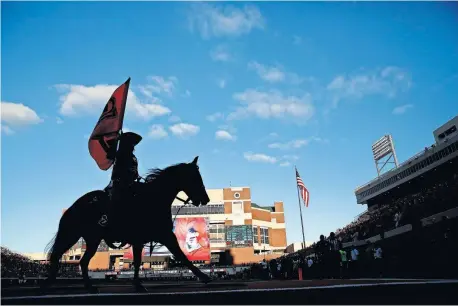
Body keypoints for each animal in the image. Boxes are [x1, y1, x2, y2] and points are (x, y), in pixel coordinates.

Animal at [41, 157, 211, 292]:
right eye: (195, 177)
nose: (206, 199)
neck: (154, 199)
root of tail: (74, 205)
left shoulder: (154, 238)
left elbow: (142, 261)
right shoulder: (161, 236)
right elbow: (180, 256)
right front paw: (204, 277)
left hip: (88, 239)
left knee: (80, 261)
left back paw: (84, 286)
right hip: (79, 236)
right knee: (64, 257)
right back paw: (53, 283)